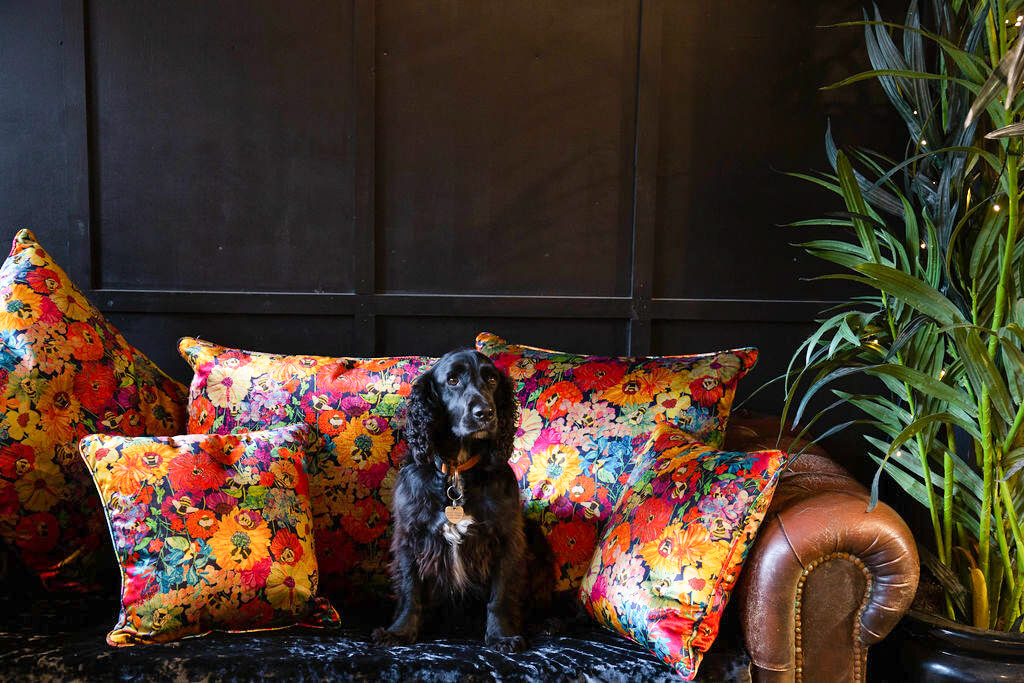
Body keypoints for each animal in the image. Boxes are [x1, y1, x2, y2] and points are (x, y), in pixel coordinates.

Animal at [372, 350, 528, 655]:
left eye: (492, 379)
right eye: (453, 380)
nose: (485, 414)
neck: (457, 470)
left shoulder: (505, 537)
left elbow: (500, 594)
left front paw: (501, 636)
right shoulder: (411, 536)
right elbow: (410, 590)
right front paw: (400, 631)